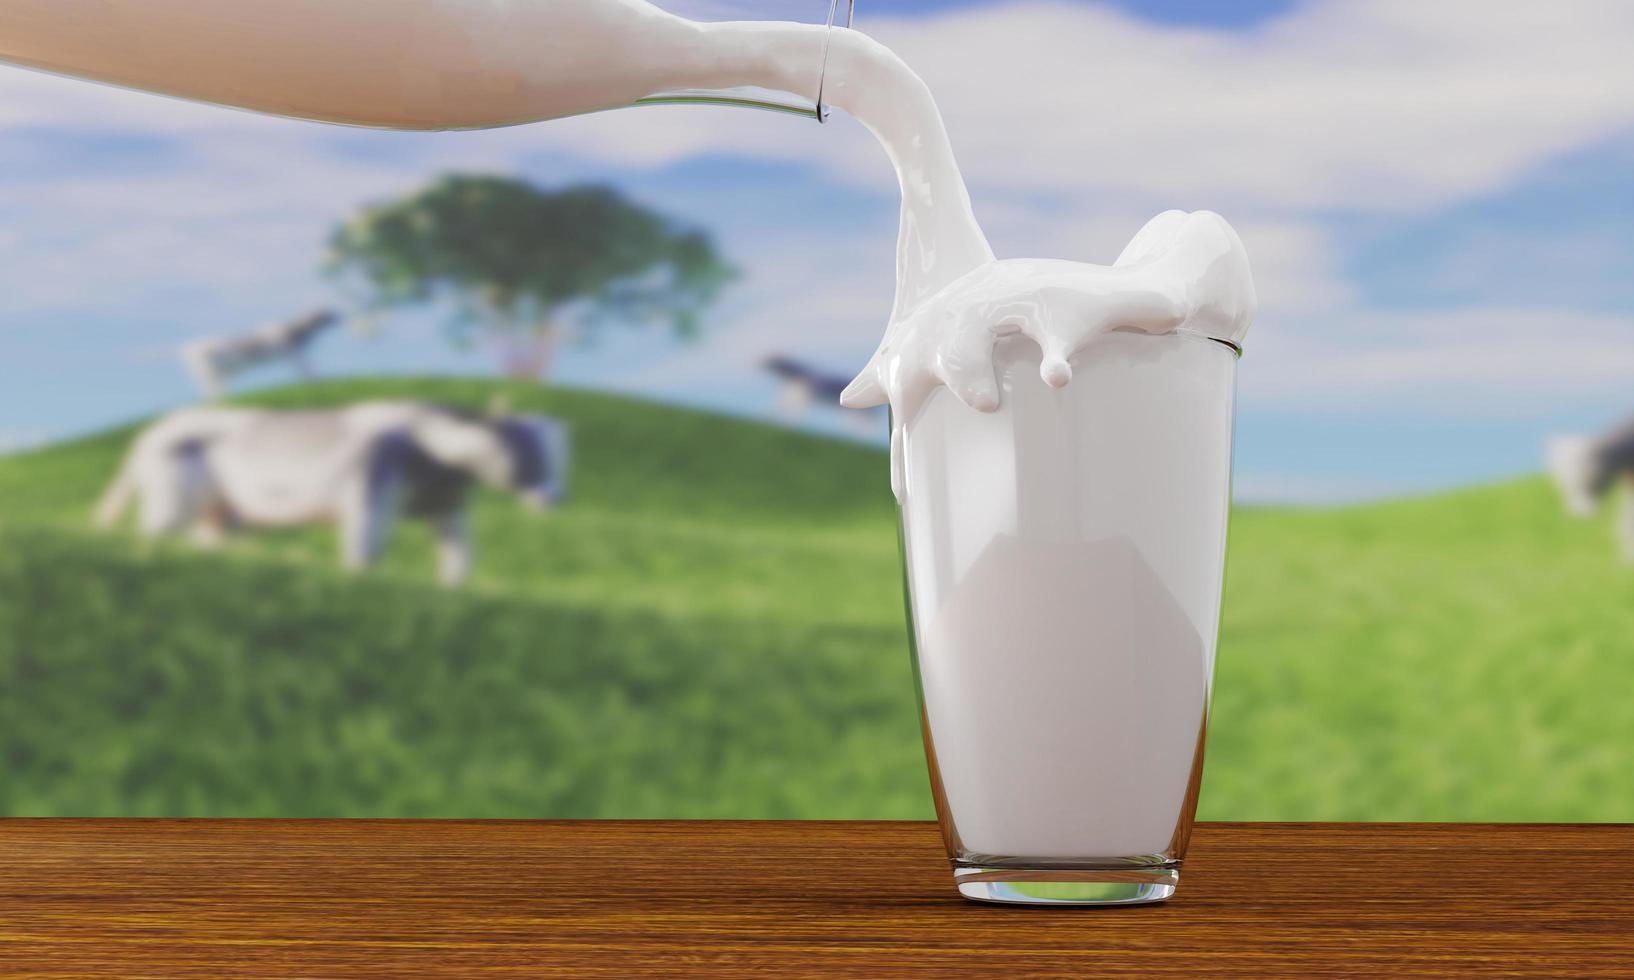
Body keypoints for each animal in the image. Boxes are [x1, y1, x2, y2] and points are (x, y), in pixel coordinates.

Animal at [95, 398, 571, 581]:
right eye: (529, 457)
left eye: (562, 463)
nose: (556, 497)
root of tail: (150, 434)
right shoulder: (369, 487)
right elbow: (365, 546)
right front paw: (360, 576)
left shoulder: (447, 502)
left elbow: (458, 557)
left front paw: (453, 589)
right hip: (174, 494)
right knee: (154, 531)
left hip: (218, 510)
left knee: (207, 537)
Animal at [181, 307, 338, 398]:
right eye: (327, 313)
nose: (340, 316)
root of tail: (189, 349)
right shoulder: (294, 354)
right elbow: (307, 370)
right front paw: (315, 382)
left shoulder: (293, 354)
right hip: (209, 372)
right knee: (213, 390)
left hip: (214, 373)